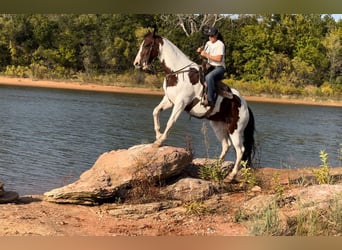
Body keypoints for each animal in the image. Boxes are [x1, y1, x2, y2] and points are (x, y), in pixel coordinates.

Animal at [134, 30, 254, 181]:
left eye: (147, 44)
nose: (136, 63)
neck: (177, 73)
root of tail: (245, 105)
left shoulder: (181, 103)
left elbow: (170, 122)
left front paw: (159, 141)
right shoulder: (169, 100)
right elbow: (155, 111)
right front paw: (158, 135)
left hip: (235, 130)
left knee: (240, 150)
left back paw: (231, 176)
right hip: (218, 125)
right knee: (226, 145)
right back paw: (215, 166)